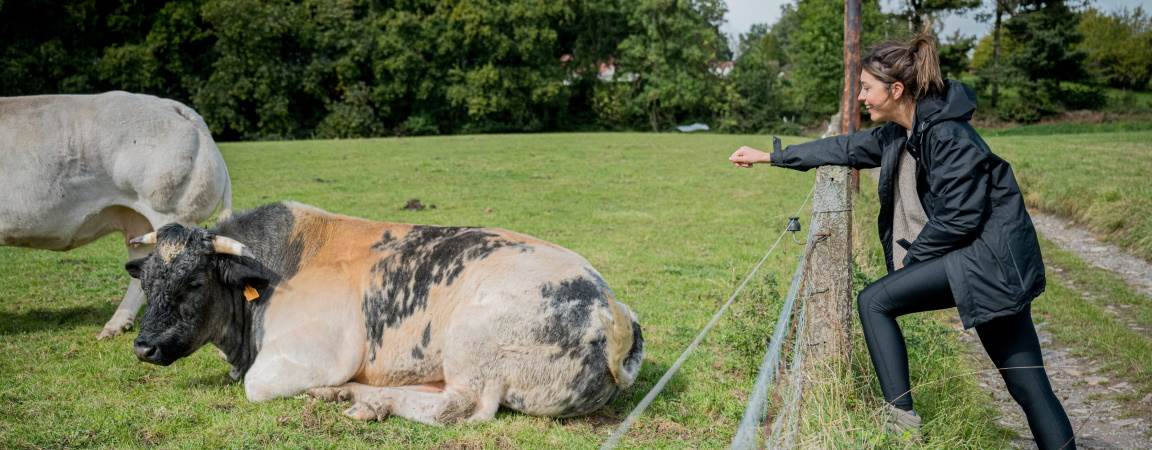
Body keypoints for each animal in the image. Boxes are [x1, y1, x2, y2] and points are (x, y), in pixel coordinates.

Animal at [128, 202, 649, 425]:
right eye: (147, 281)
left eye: (194, 283)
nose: (143, 345)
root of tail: (611, 311)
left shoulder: (305, 358)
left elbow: (256, 387)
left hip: (474, 344)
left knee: (459, 408)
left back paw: (364, 399)